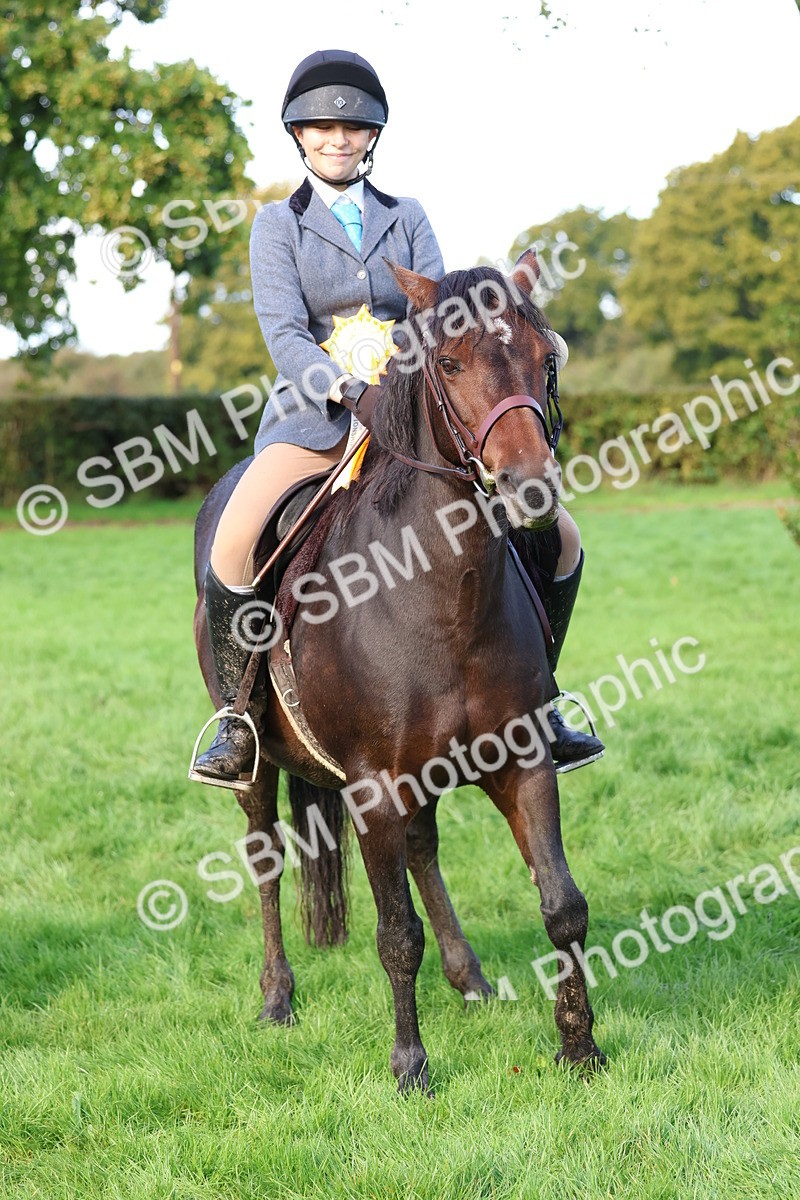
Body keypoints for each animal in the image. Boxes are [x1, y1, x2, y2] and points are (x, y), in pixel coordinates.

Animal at [192, 250, 606, 1092]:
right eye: (448, 363)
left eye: (546, 359)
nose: (530, 488)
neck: (440, 592)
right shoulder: (373, 788)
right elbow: (394, 934)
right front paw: (411, 1066)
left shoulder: (521, 760)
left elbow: (562, 904)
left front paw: (579, 1047)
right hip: (258, 766)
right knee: (266, 855)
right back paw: (277, 998)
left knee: (422, 848)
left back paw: (470, 977)